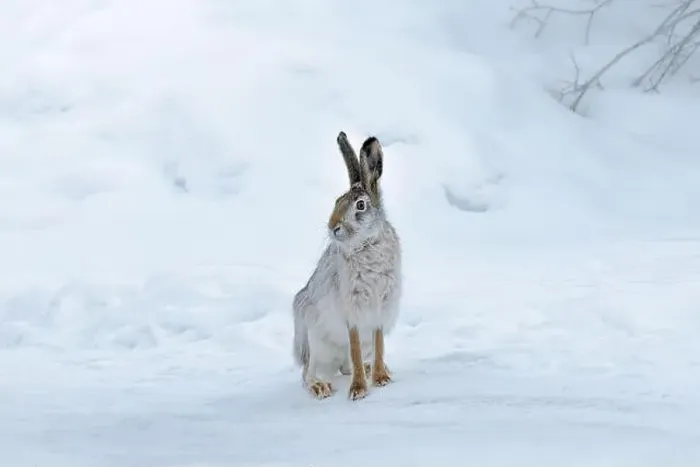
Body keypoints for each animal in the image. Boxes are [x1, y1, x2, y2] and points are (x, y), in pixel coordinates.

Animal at [292, 131, 402, 401]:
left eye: (360, 205)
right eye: (337, 202)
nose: (333, 227)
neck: (367, 244)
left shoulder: (380, 309)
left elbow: (379, 343)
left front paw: (381, 378)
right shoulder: (352, 309)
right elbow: (353, 347)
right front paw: (359, 389)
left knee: (346, 365)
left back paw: (371, 367)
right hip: (313, 337)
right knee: (308, 373)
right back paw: (320, 386)